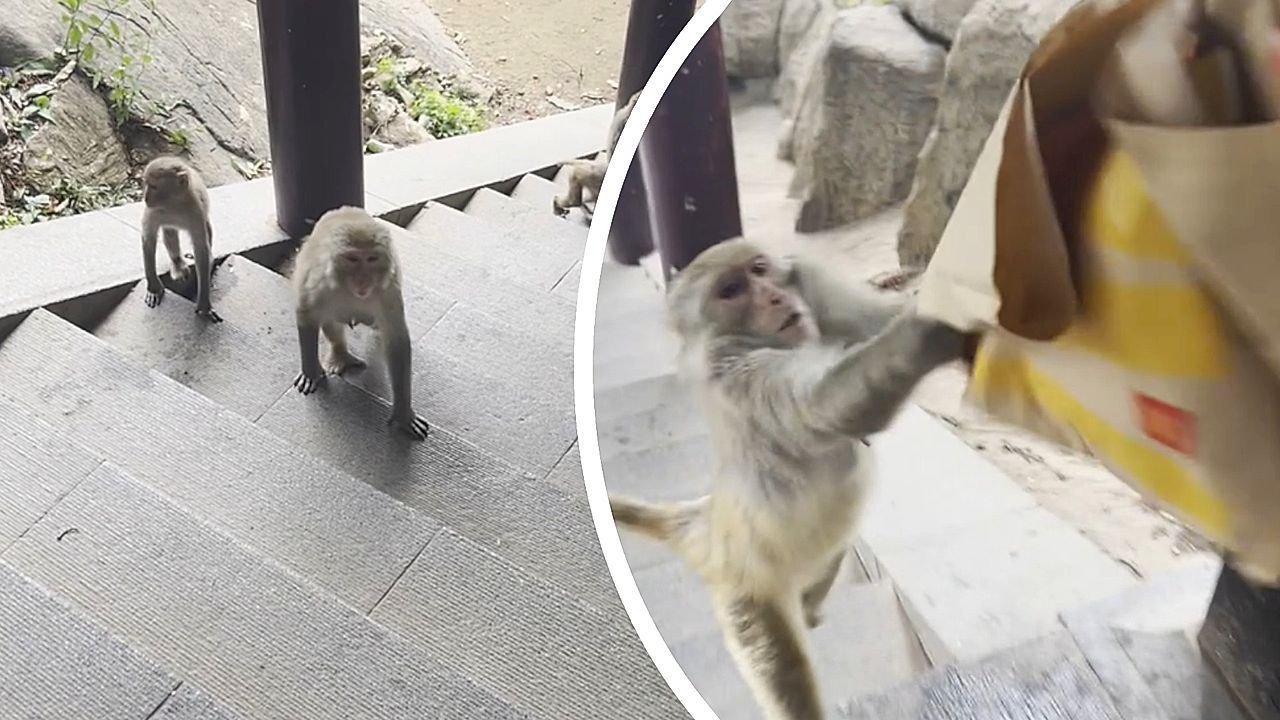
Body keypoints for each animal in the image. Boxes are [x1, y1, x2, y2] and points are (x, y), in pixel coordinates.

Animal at [140, 156, 221, 322]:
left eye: (154, 186)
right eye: (146, 184)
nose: (145, 197)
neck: (173, 203)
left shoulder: (196, 210)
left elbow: (201, 249)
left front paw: (204, 304)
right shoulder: (153, 211)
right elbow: (148, 239)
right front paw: (154, 288)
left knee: (208, 230)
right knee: (170, 232)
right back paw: (177, 262)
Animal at [290, 206, 430, 441]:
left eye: (372, 259)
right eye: (353, 259)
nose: (363, 279)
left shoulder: (388, 291)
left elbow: (397, 340)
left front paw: (403, 413)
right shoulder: (319, 279)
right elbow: (307, 313)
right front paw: (310, 372)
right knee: (328, 316)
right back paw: (340, 353)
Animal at [608, 240, 965, 720]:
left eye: (760, 270)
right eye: (731, 290)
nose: (775, 298)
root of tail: (706, 525)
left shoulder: (819, 290)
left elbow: (879, 317)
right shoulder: (735, 374)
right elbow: (817, 405)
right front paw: (934, 330)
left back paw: (810, 607)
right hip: (746, 596)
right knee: (784, 670)